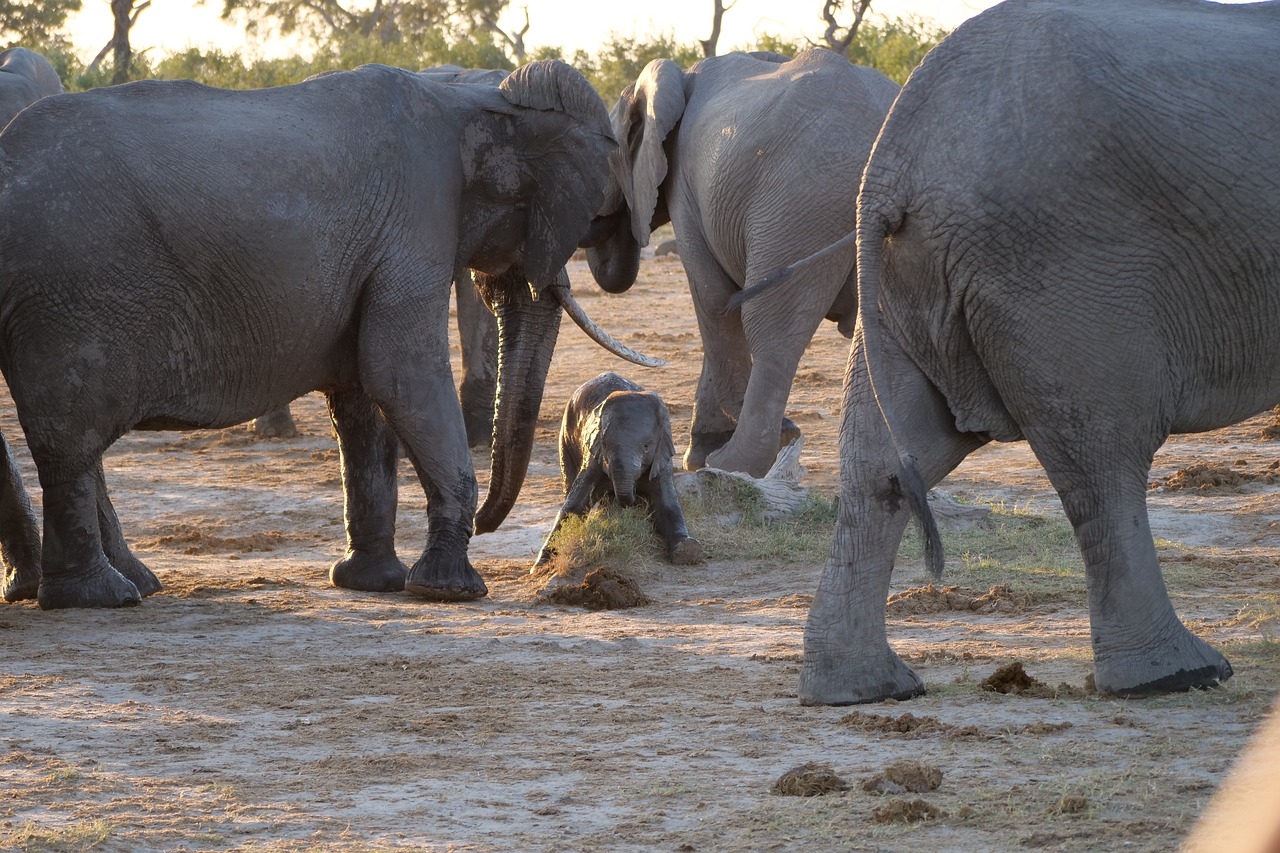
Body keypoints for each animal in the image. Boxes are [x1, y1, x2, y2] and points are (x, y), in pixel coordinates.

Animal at [0, 58, 629, 604]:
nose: (494, 526)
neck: (479, 102)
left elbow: (360, 394)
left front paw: (373, 583)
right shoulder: (416, 221)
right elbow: (398, 374)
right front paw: (449, 591)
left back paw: (120, 586)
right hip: (70, 298)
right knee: (72, 439)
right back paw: (99, 597)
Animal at [535, 368, 706, 568]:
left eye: (646, 446)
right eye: (605, 444)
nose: (631, 498)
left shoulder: (661, 460)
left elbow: (668, 504)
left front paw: (688, 550)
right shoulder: (594, 459)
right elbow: (573, 506)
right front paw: (540, 565)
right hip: (566, 436)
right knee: (569, 484)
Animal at [583, 48, 901, 479]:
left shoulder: (685, 187)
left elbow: (713, 301)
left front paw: (705, 458)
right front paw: (699, 453)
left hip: (802, 201)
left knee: (770, 327)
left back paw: (737, 464)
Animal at [793, 0, 1274, 701]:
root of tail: (893, 159)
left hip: (904, 279)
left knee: (889, 460)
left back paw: (865, 688)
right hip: (1061, 263)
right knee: (1103, 450)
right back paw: (1178, 675)